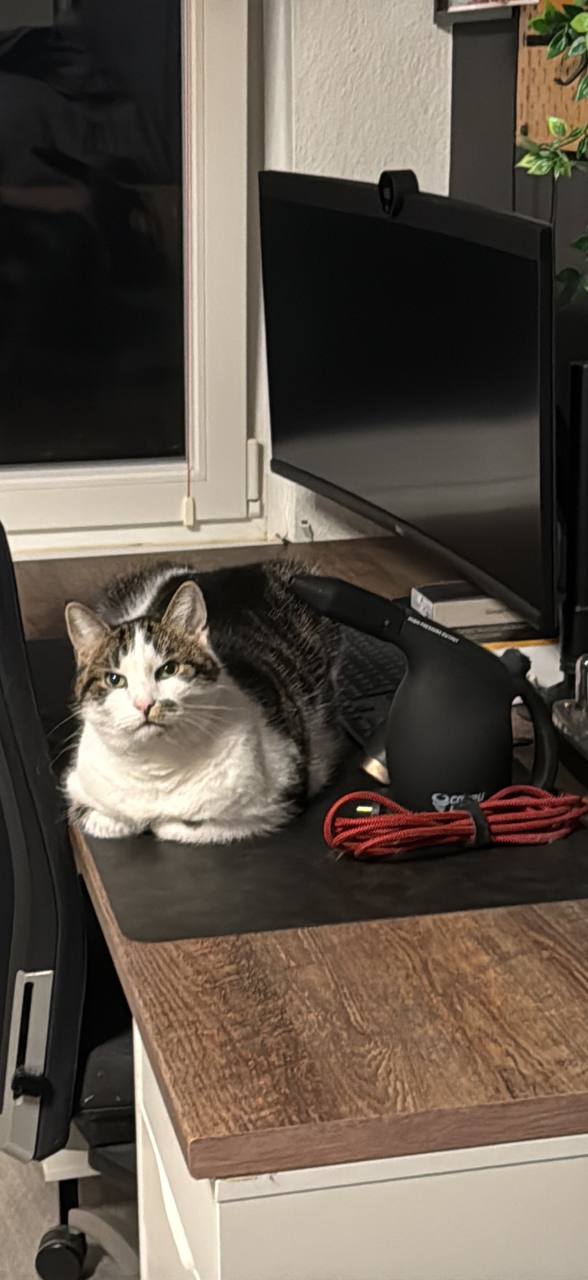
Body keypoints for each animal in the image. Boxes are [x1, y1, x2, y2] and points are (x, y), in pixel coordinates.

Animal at [64, 560, 343, 845]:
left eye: (169, 669)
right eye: (114, 679)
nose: (145, 704)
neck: (156, 766)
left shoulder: (276, 802)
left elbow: (183, 825)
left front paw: (161, 823)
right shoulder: (79, 790)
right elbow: (105, 819)